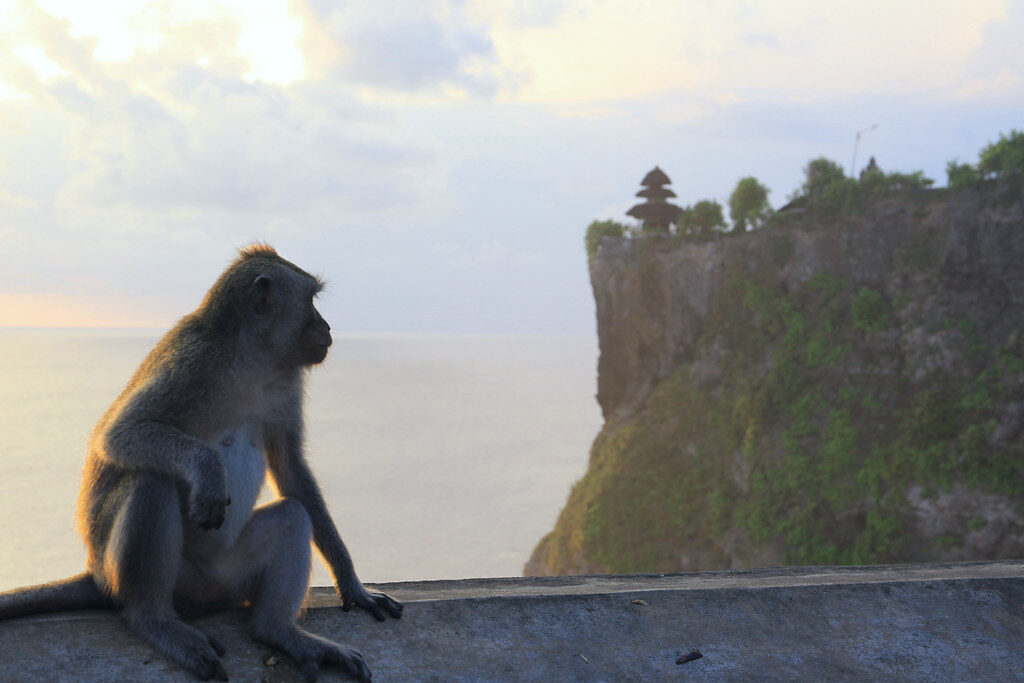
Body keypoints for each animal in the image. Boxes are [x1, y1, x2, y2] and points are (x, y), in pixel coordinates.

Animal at [0, 244, 402, 681]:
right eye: (311, 300)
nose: (326, 327)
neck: (250, 358)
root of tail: (96, 573)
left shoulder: (287, 385)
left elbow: (292, 470)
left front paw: (353, 586)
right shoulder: (192, 364)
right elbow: (121, 433)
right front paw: (207, 469)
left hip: (228, 576)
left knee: (293, 516)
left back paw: (278, 631)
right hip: (142, 576)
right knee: (150, 481)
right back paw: (155, 621)